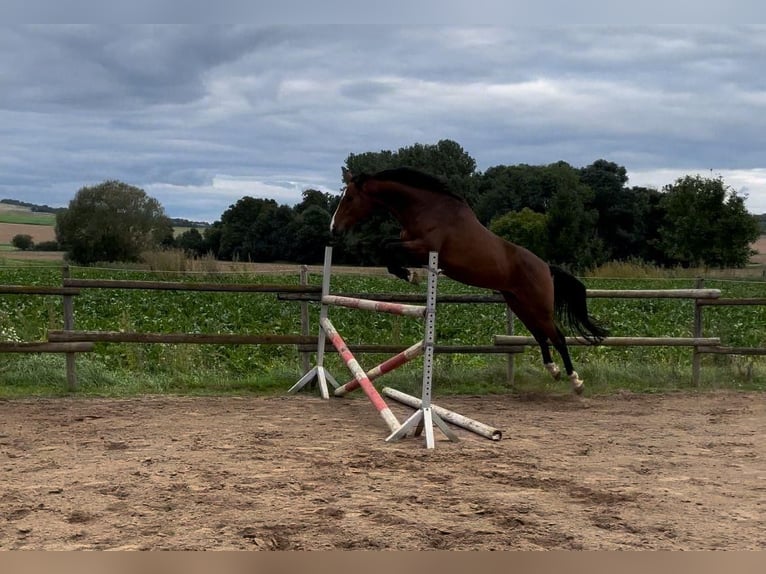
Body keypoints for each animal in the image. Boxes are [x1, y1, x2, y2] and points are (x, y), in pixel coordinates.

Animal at [332, 164, 608, 394]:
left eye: (350, 198)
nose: (334, 228)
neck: (424, 209)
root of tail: (545, 267)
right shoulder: (412, 246)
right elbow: (386, 247)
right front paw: (410, 274)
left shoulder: (425, 247)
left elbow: (387, 247)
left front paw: (411, 275)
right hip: (519, 304)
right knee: (540, 335)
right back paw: (554, 370)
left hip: (539, 307)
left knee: (557, 336)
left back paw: (575, 380)